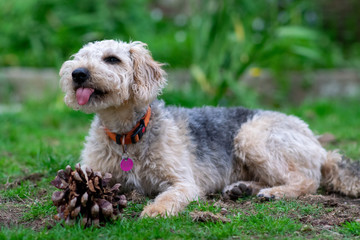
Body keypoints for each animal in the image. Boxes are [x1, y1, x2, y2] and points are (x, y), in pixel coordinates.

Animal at [59, 40, 360, 218]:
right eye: (80, 58)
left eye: (112, 59)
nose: (78, 74)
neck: (125, 135)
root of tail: (317, 144)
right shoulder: (96, 171)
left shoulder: (183, 182)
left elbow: (168, 197)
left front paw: (154, 211)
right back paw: (243, 188)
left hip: (251, 137)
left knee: (307, 180)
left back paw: (275, 193)